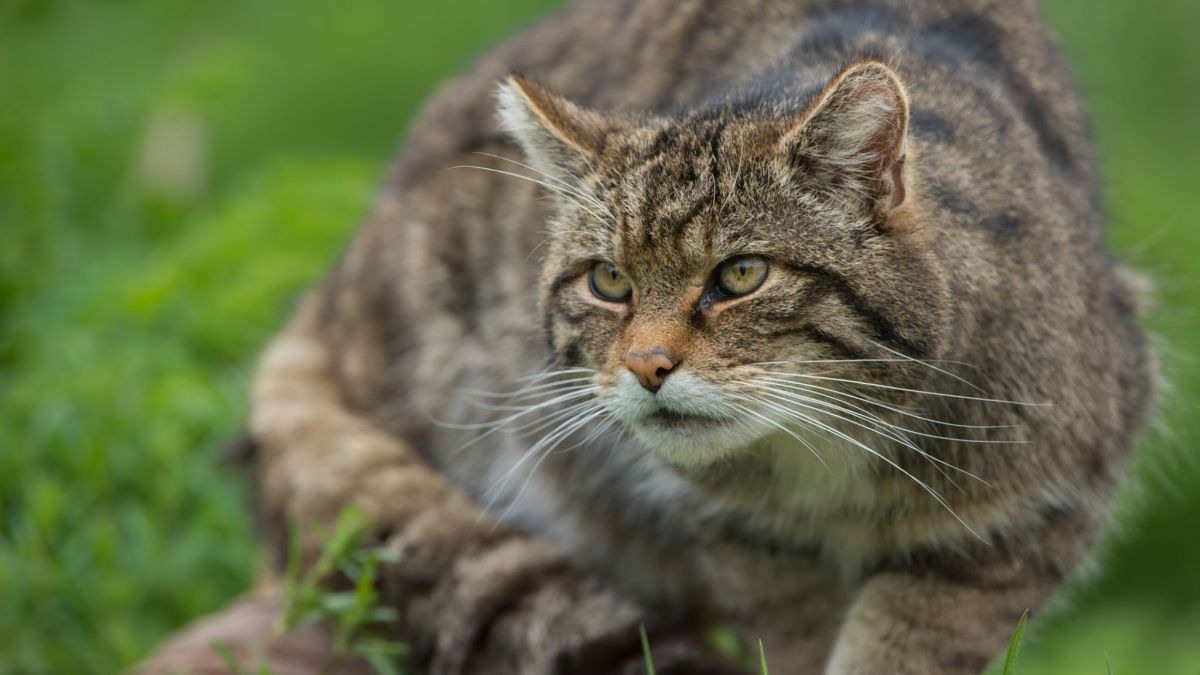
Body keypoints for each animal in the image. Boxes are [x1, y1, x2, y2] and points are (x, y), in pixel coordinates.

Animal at [140, 1, 1152, 672]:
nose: (646, 365)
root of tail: (341, 275)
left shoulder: (1022, 522)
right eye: (609, 283)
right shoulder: (748, 540)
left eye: (740, 275)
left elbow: (911, 644)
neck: (830, 450)